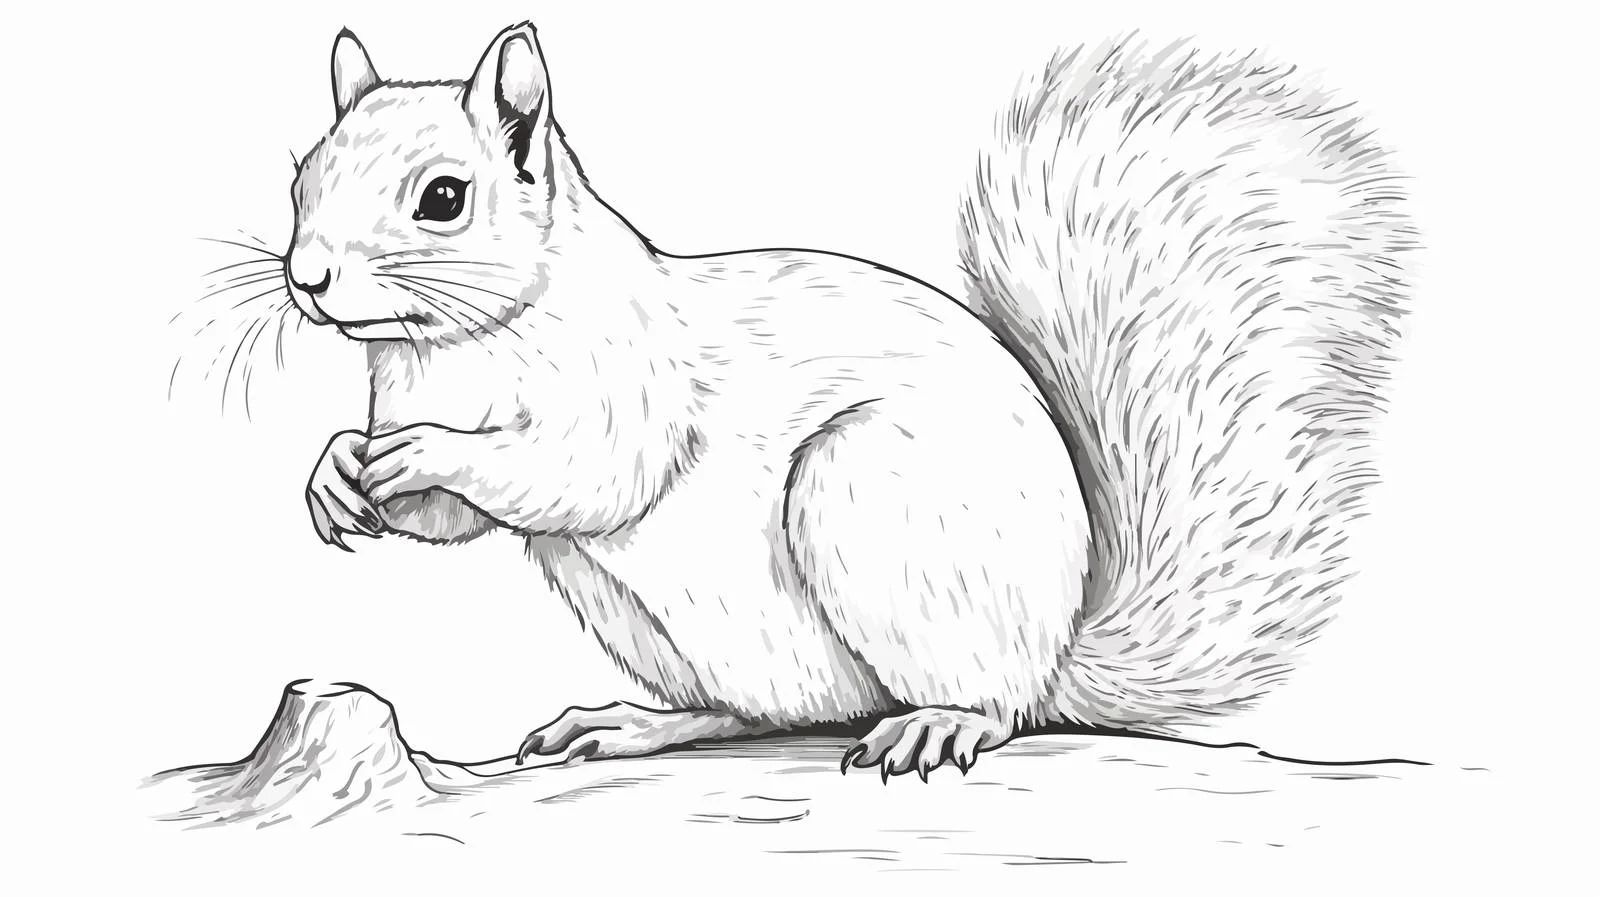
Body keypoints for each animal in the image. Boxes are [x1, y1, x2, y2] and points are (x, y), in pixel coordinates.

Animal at [283, 22, 1415, 779]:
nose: (307, 279)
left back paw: (948, 719)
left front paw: (425, 451)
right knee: (763, 713)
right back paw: (638, 723)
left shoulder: (625, 379)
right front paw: (335, 471)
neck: (449, 349)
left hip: (869, 493)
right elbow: (449, 525)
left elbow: (584, 472)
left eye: (443, 198)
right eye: (300, 181)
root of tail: (1054, 651)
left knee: (988, 704)